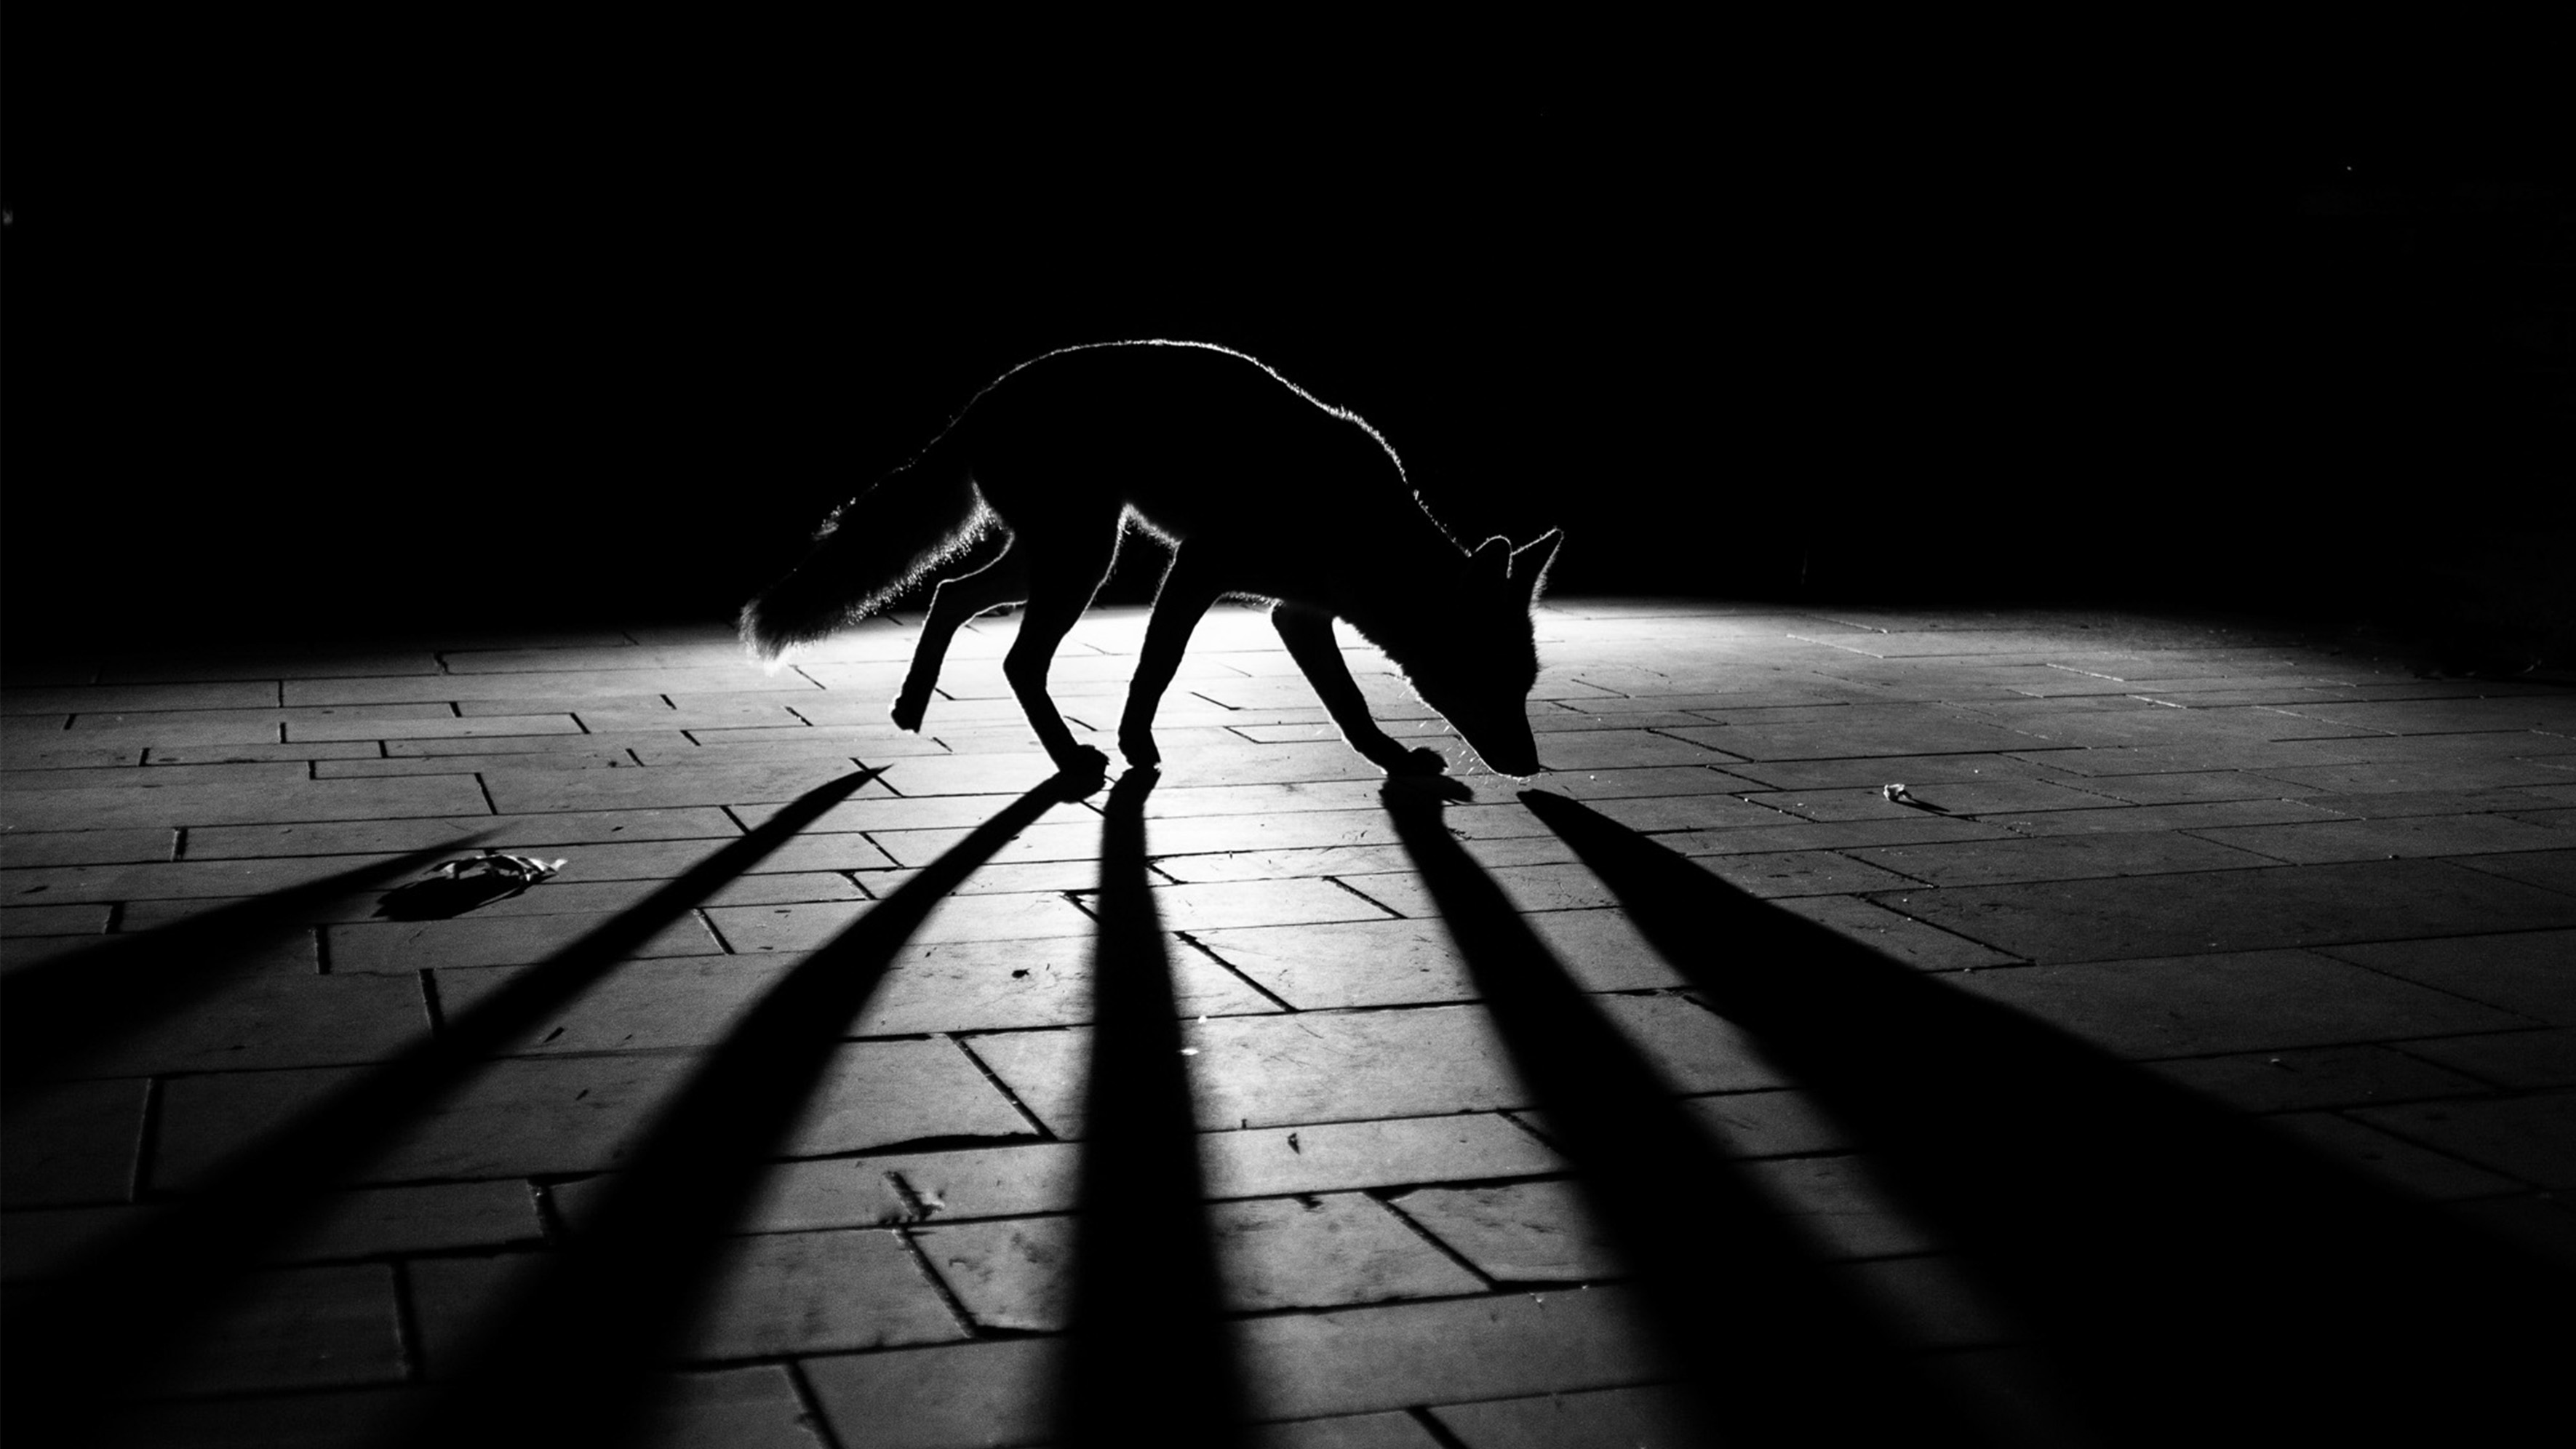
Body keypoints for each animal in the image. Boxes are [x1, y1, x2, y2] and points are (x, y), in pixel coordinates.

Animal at [739, 339, 1561, 781]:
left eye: (1524, 688)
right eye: (1490, 682)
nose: (1530, 766)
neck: (1357, 528)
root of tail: (984, 399)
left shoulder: (1295, 614)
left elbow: (1348, 704)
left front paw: (1390, 762)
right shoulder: (1198, 569)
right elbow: (1155, 668)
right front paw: (1137, 746)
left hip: (1050, 560)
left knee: (946, 595)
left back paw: (912, 707)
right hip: (1082, 561)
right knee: (1015, 659)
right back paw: (1069, 760)